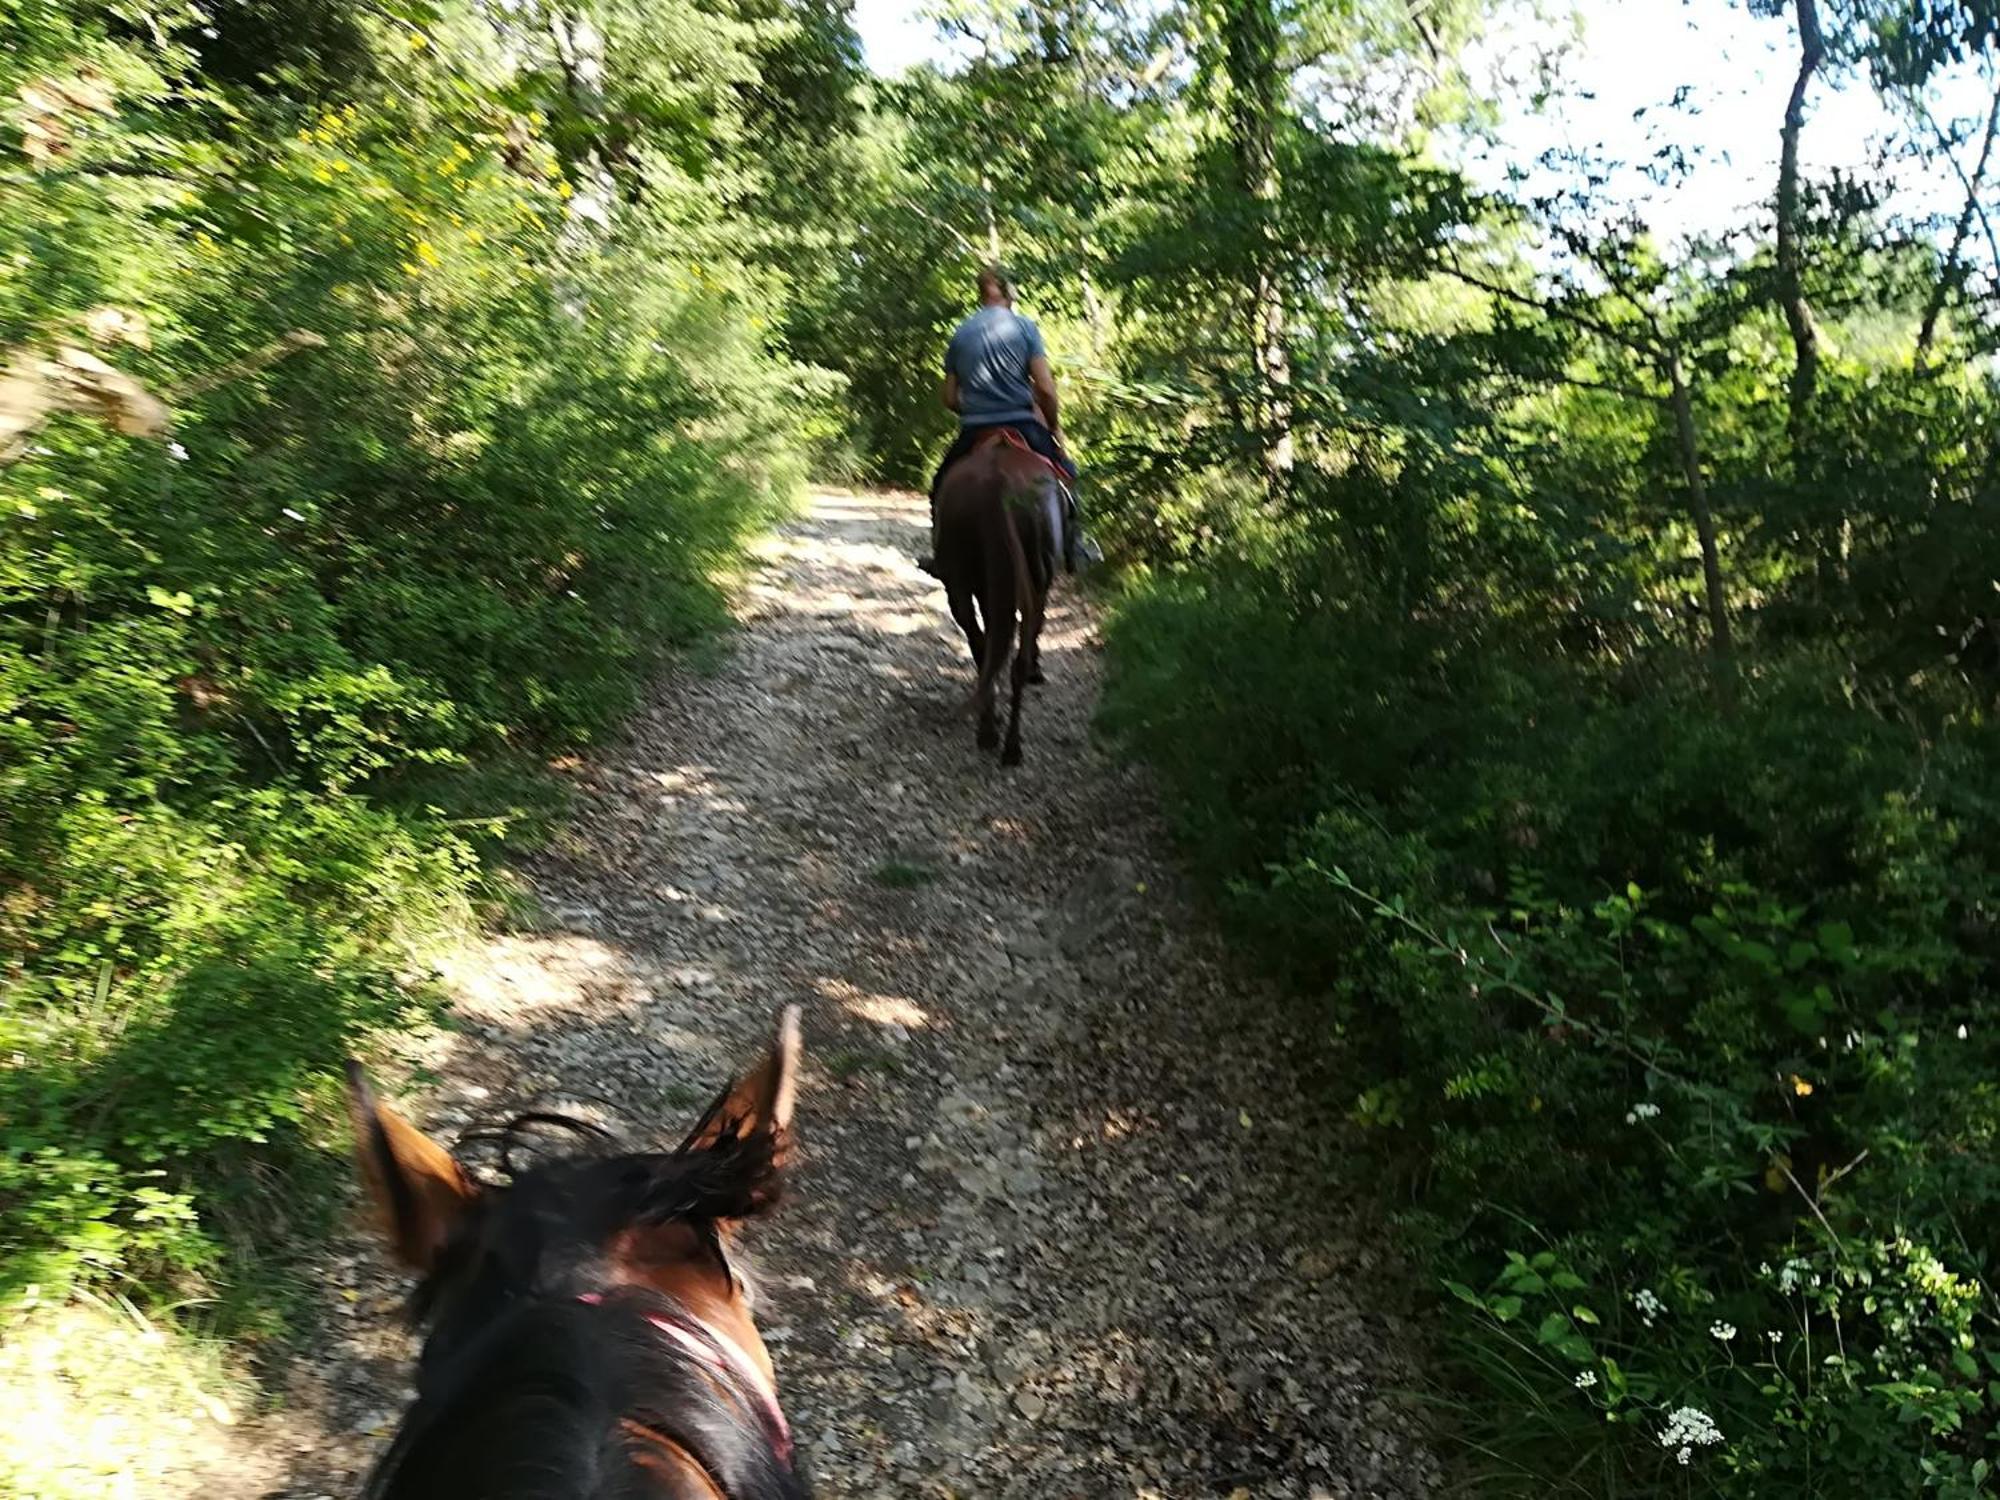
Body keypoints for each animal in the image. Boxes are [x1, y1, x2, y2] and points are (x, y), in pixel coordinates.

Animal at [932, 428, 1064, 768]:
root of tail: (999, 482)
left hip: (965, 583)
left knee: (985, 647)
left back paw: (997, 735)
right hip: (1027, 580)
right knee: (1007, 653)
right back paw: (1005, 742)